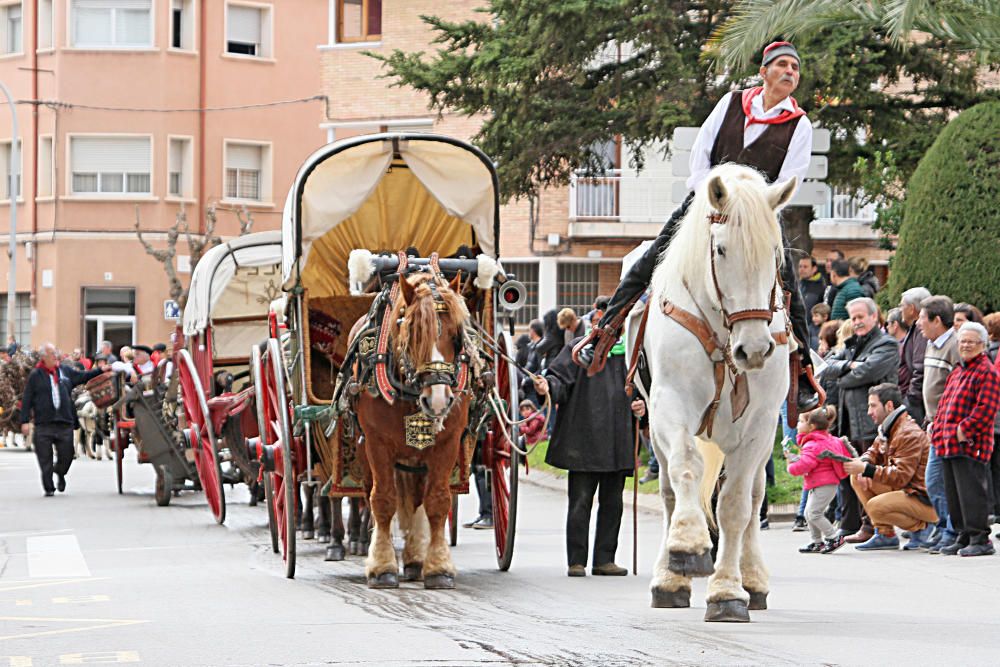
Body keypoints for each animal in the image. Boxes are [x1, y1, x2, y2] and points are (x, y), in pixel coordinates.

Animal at [356, 270, 472, 588]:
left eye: (456, 337)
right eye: (414, 334)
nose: (439, 399)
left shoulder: (447, 444)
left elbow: (437, 501)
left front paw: (438, 566)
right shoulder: (376, 444)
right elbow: (383, 500)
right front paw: (381, 566)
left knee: (419, 498)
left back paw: (415, 558)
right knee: (372, 495)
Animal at [640, 164, 796, 624]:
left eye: (775, 256)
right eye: (722, 250)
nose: (755, 349)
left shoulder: (760, 426)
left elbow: (735, 507)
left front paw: (727, 591)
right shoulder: (669, 408)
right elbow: (686, 468)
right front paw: (688, 546)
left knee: (754, 499)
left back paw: (753, 580)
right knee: (670, 490)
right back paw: (669, 577)